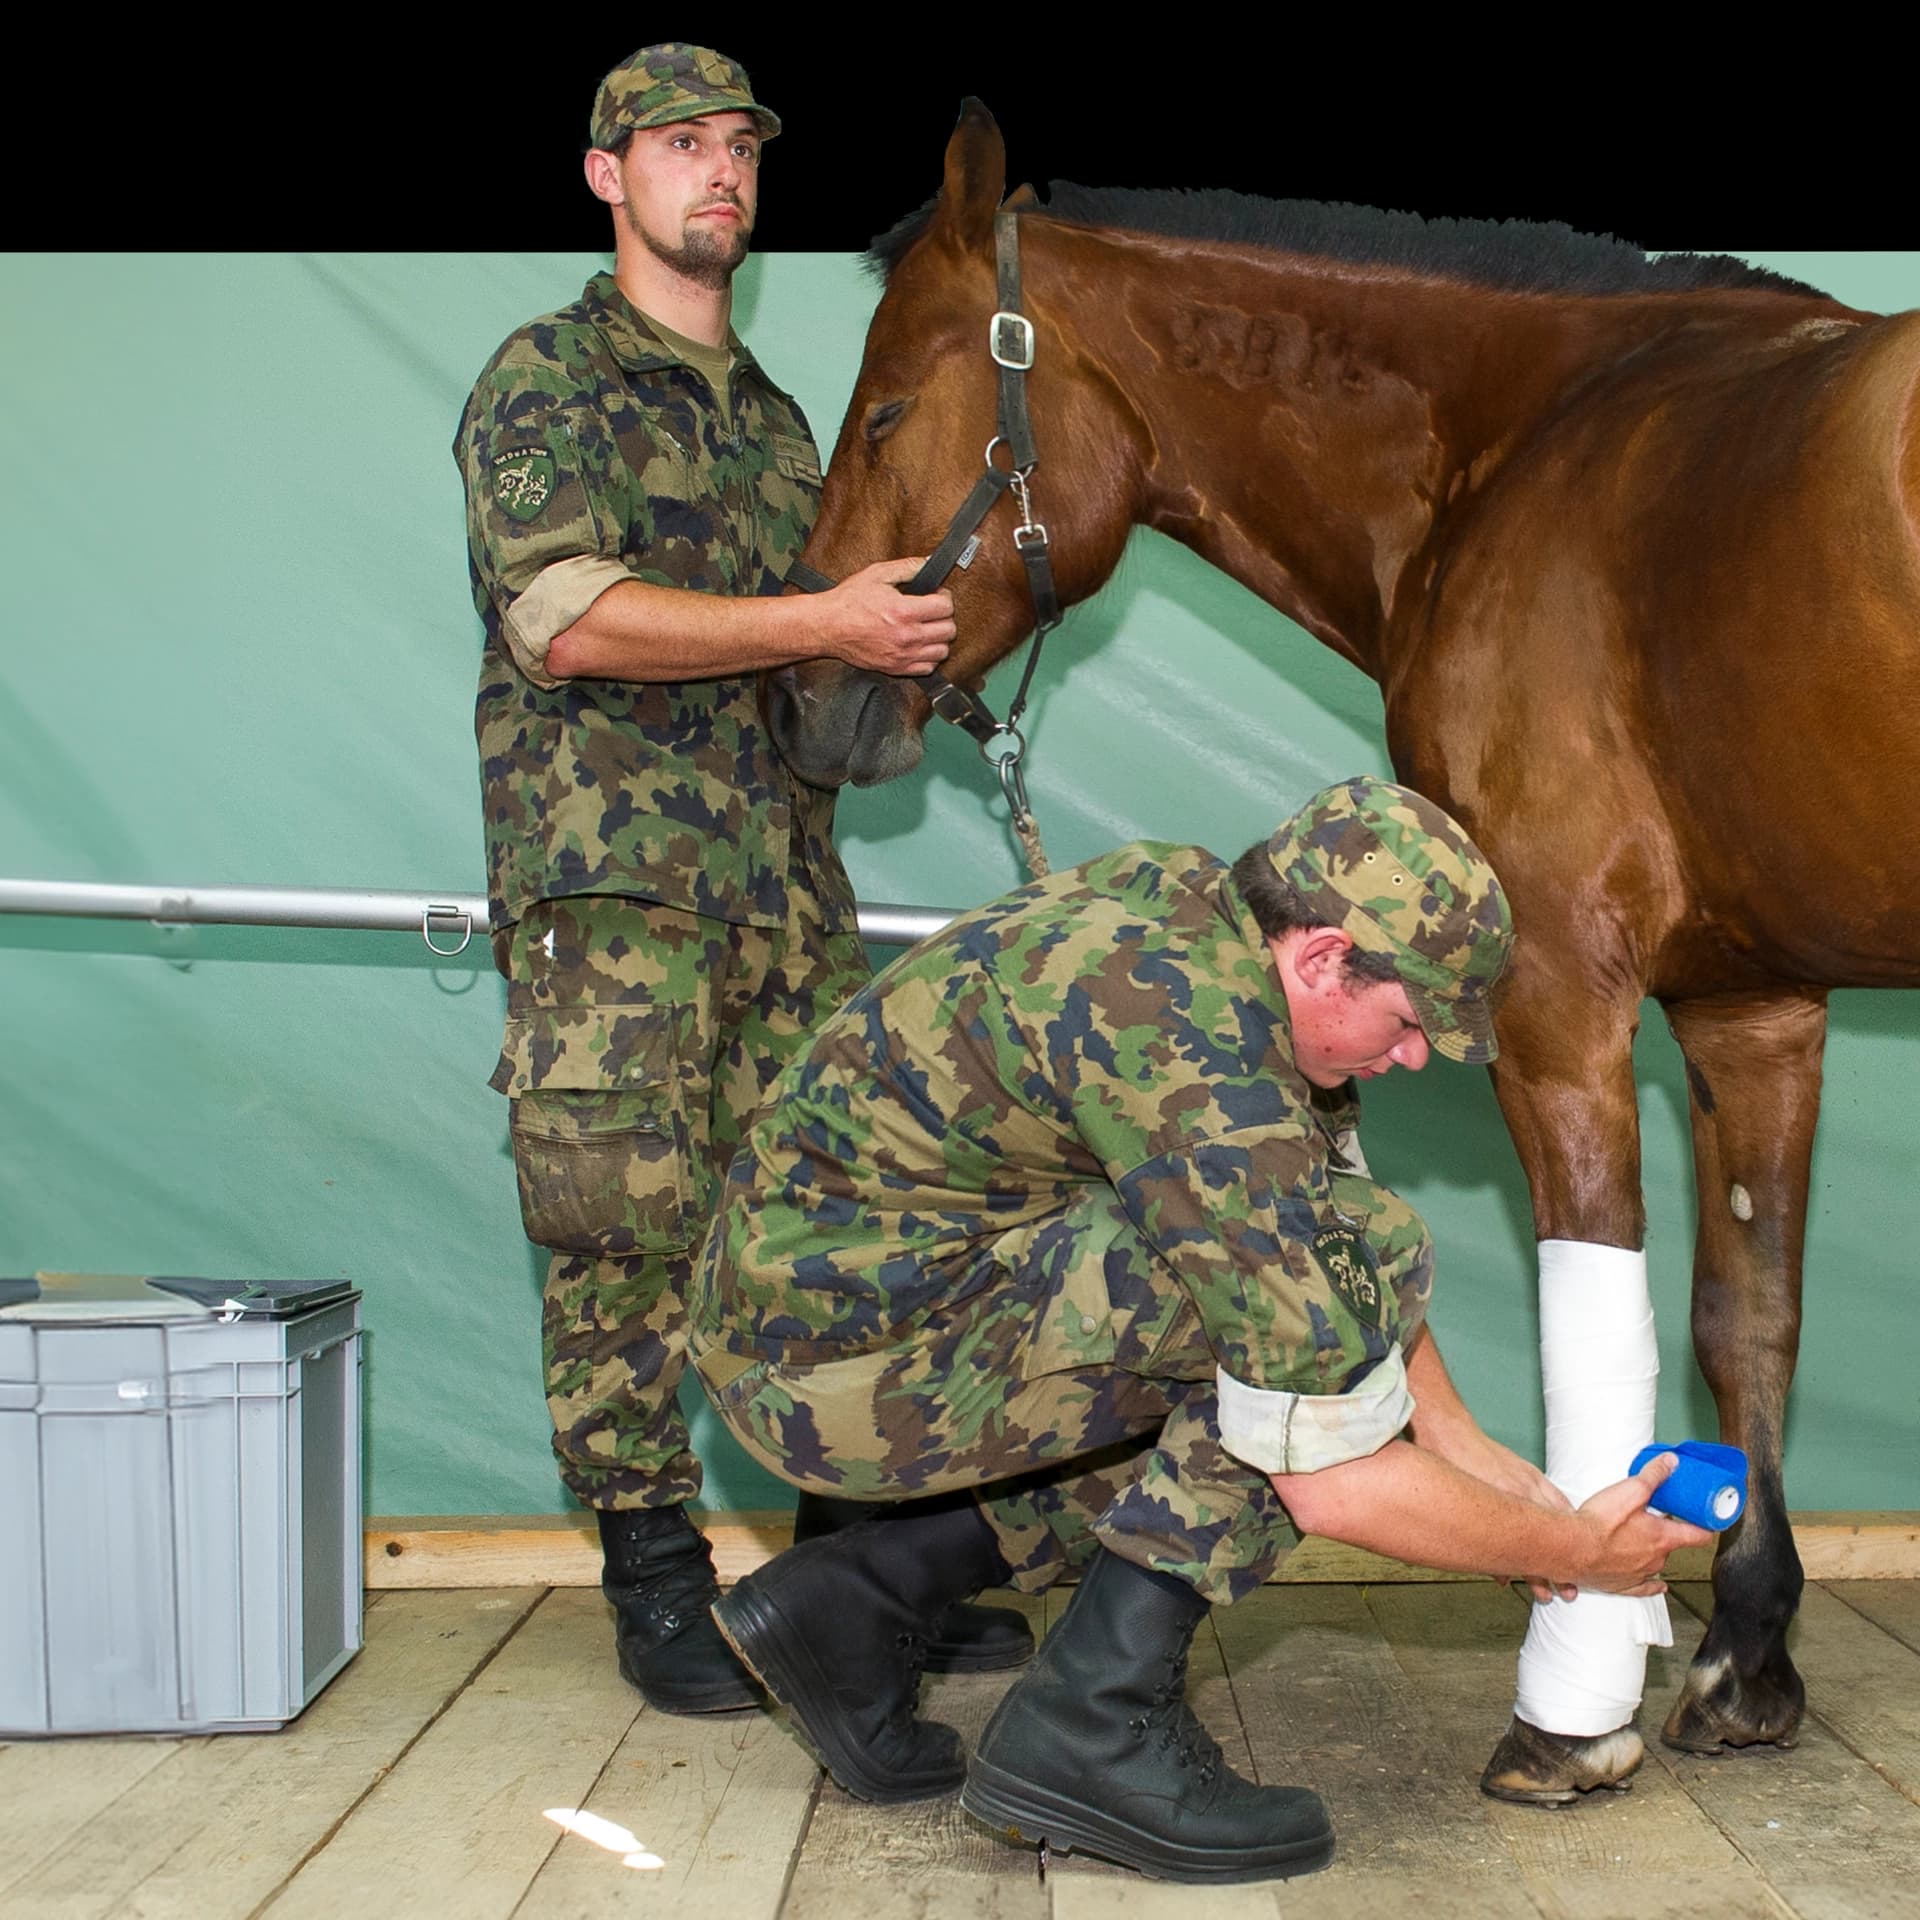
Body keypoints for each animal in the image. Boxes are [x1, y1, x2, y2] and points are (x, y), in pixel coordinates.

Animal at [768, 101, 1920, 1802]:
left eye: (888, 406)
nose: (806, 702)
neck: (1523, 444)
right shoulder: (1752, 1002)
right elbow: (1743, 1316)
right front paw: (1740, 1653)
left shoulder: (1555, 990)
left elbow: (1599, 1314)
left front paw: (1574, 1697)